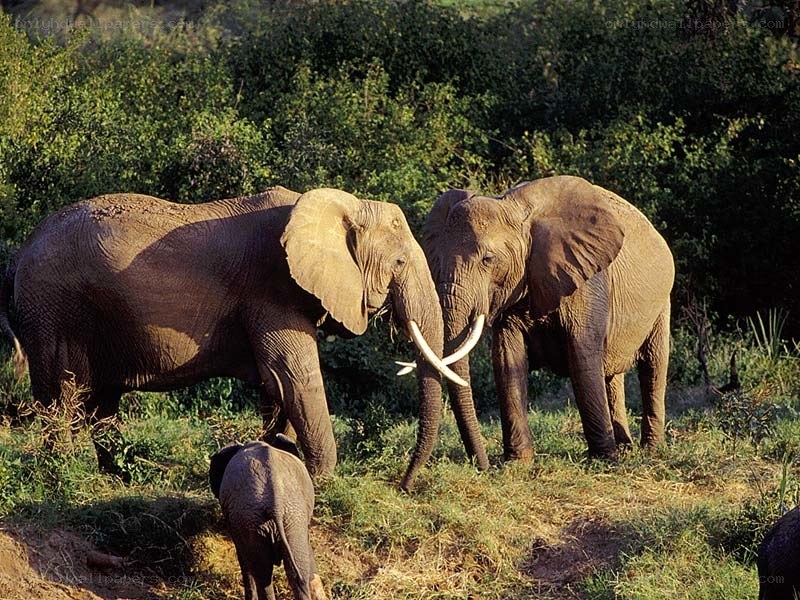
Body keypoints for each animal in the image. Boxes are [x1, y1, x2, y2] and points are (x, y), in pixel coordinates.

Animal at [0, 186, 460, 481]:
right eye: (399, 263)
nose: (404, 482)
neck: (343, 204)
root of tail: (21, 252)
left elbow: (276, 385)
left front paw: (280, 455)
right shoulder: (273, 287)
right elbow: (295, 376)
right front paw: (324, 479)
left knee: (102, 403)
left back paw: (121, 477)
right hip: (53, 309)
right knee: (62, 395)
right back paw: (62, 474)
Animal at [400, 175, 674, 485]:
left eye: (488, 259)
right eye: (435, 262)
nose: (482, 466)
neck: (518, 213)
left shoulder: (588, 279)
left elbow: (582, 356)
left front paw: (604, 460)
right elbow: (507, 359)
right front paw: (516, 465)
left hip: (662, 301)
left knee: (653, 365)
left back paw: (650, 450)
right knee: (611, 374)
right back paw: (626, 447)